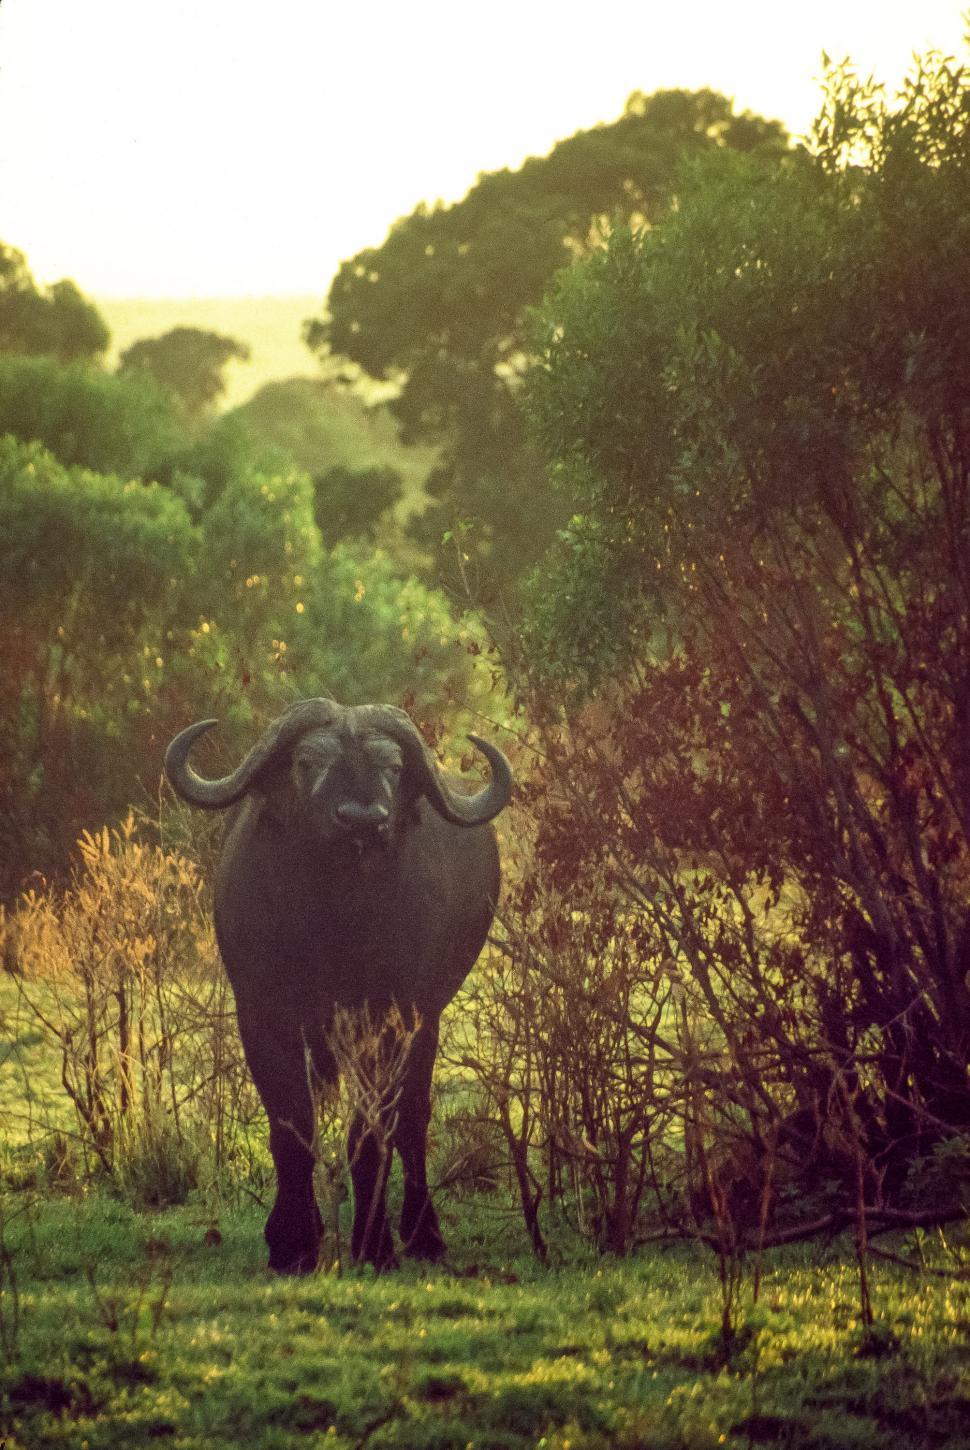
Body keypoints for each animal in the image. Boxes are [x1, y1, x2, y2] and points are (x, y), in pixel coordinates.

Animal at [164, 698, 511, 1273]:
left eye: (393, 767)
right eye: (308, 763)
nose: (363, 820)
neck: (335, 921)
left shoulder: (391, 1021)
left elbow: (371, 1131)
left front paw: (374, 1246)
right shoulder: (263, 1017)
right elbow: (291, 1127)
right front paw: (292, 1241)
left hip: (428, 1024)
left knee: (413, 1122)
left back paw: (424, 1233)